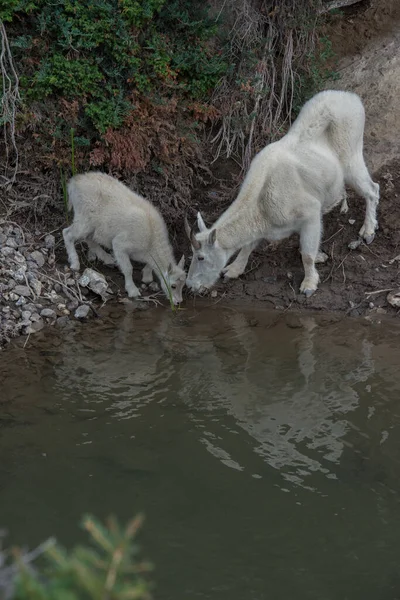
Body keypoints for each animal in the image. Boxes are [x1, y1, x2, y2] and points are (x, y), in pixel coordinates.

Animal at [63, 173, 187, 304]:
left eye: (183, 285)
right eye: (173, 286)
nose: (178, 302)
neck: (151, 240)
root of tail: (74, 183)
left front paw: (146, 277)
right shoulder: (121, 244)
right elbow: (128, 269)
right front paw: (132, 290)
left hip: (92, 224)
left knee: (89, 238)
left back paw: (107, 258)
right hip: (84, 219)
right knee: (67, 233)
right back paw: (74, 263)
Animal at [184, 88, 378, 296]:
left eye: (201, 257)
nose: (190, 285)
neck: (260, 204)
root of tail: (352, 98)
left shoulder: (309, 213)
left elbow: (307, 254)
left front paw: (309, 284)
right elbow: (247, 246)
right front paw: (233, 270)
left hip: (352, 155)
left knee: (372, 189)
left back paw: (368, 230)